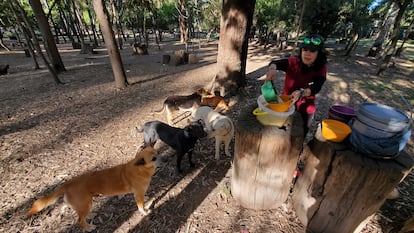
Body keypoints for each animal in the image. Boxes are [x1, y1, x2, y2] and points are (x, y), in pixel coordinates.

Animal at [26, 144, 158, 231]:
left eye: (156, 153)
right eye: (154, 158)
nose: (161, 157)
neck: (140, 169)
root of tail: (67, 184)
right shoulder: (138, 194)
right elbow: (141, 206)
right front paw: (145, 212)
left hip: (83, 204)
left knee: (80, 214)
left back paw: (89, 216)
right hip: (86, 203)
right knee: (79, 220)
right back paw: (89, 227)